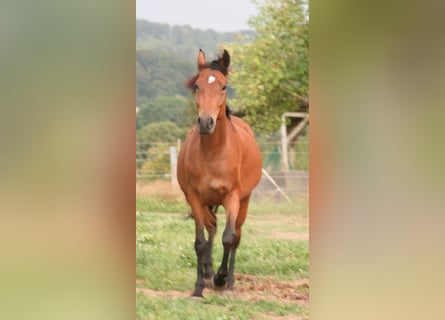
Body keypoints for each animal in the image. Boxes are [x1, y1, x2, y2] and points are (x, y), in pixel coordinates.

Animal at [176, 48, 260, 296]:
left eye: (223, 87)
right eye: (197, 86)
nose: (206, 122)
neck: (213, 154)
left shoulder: (232, 196)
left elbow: (229, 237)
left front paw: (221, 279)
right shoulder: (194, 198)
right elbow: (200, 242)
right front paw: (199, 287)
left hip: (244, 201)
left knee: (236, 236)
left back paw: (228, 281)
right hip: (206, 203)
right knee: (211, 226)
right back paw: (207, 271)